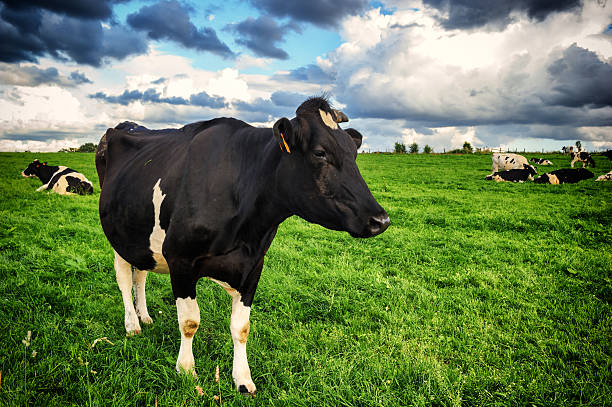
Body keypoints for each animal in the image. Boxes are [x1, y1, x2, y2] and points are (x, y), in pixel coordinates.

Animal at [97, 97, 392, 396]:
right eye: (320, 153)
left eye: (353, 153)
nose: (381, 220)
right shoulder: (180, 258)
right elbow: (189, 322)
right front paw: (187, 371)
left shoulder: (253, 264)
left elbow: (241, 327)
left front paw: (242, 378)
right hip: (118, 236)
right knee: (124, 279)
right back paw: (132, 324)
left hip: (142, 238)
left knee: (141, 275)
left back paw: (144, 316)